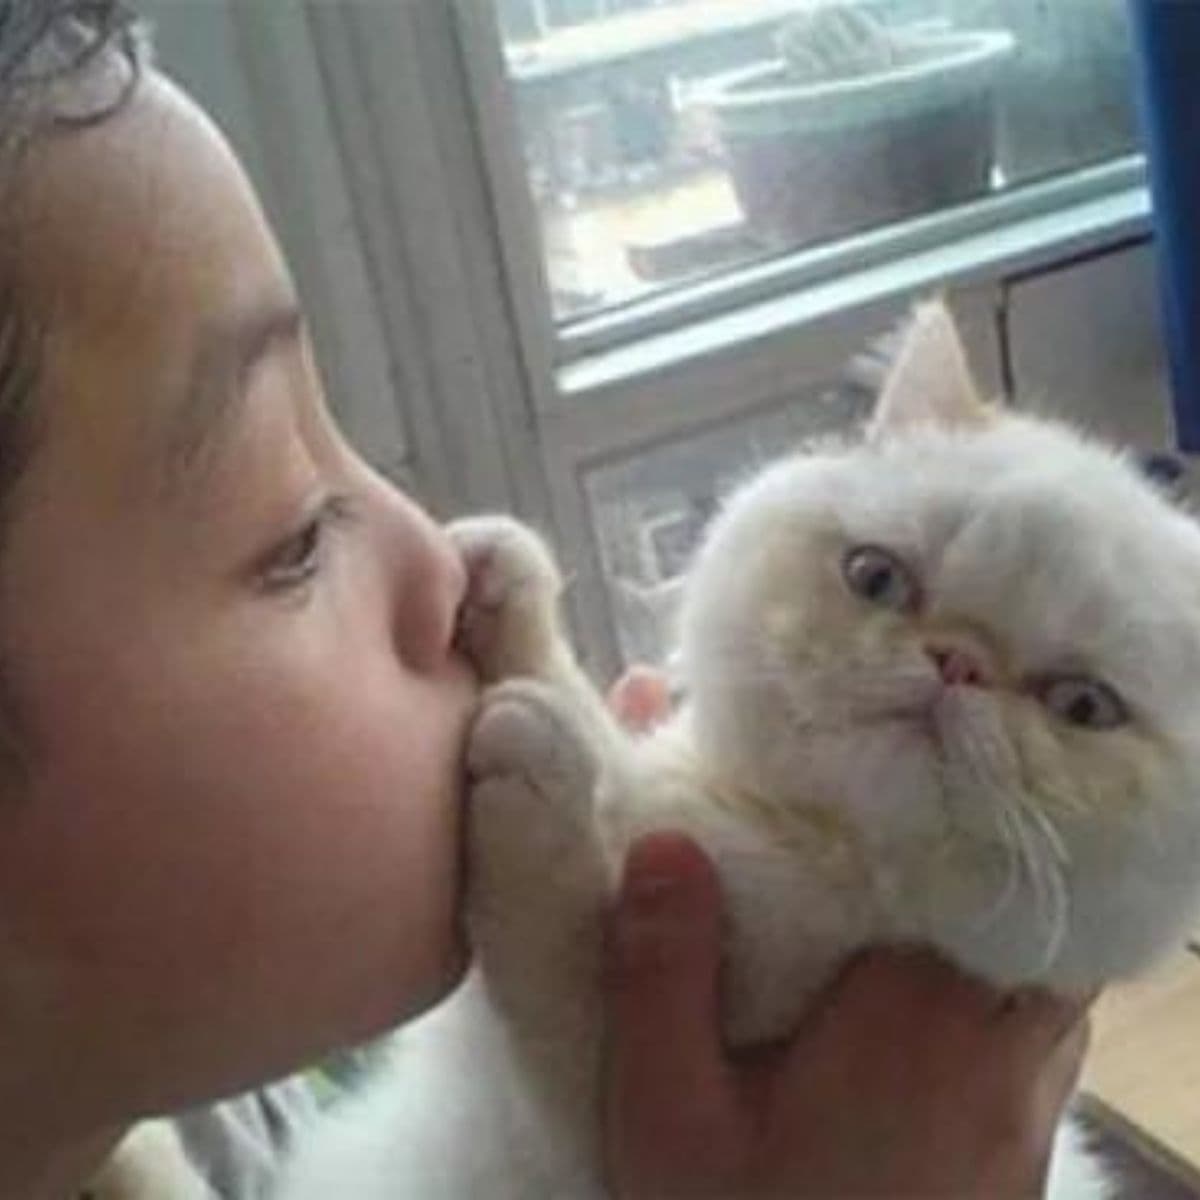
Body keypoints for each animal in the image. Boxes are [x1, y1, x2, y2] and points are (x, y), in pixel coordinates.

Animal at [274, 304, 1200, 1195]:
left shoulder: (596, 1119)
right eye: (877, 577)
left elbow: (556, 939)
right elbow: (590, 726)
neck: (794, 852)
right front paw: (500, 586)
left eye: (1082, 704)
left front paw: (542, 768)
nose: (955, 662)